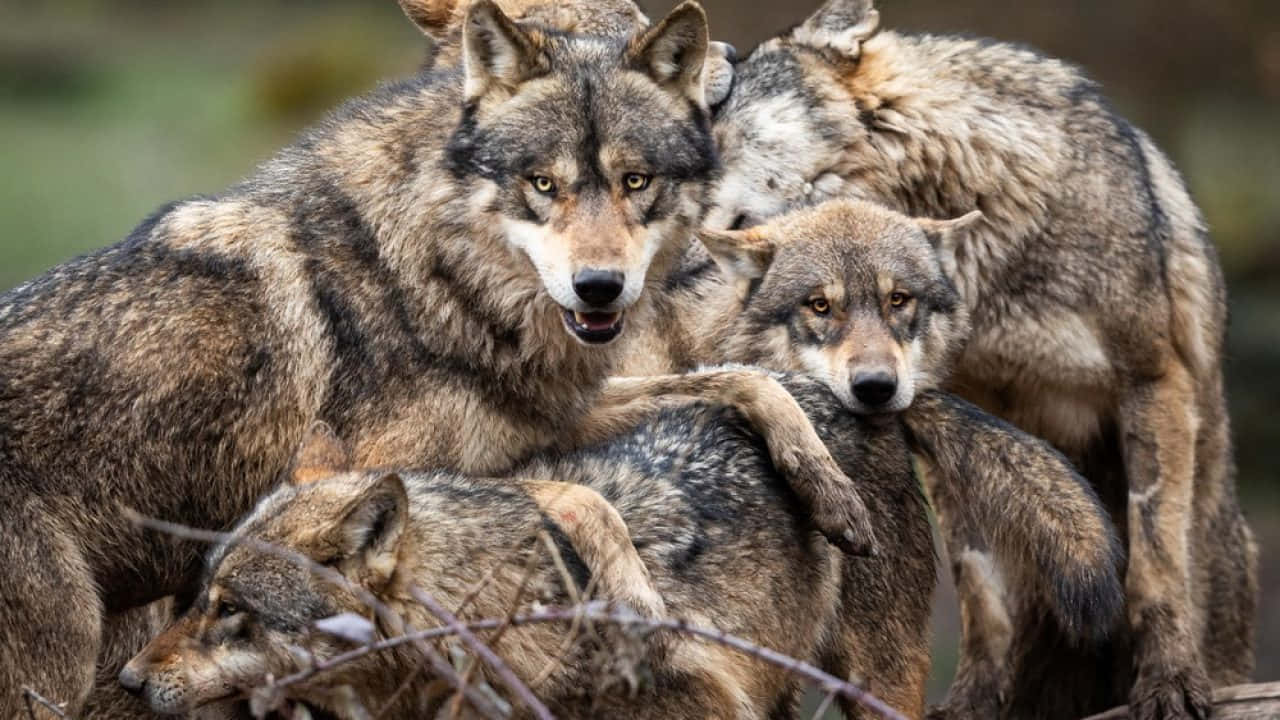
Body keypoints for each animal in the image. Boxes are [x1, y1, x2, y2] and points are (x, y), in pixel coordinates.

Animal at [0, 2, 876, 715]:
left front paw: (832, 494)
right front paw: (637, 602)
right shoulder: (369, 475)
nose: (599, 287)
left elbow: (744, 379)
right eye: (542, 185)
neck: (439, 270)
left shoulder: (546, 412)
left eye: (637, 181)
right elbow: (583, 498)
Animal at [709, 4, 1262, 703]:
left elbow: (1153, 562)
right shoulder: (955, 404)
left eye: (703, 135)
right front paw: (971, 700)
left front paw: (1168, 683)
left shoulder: (1151, 379)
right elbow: (979, 587)